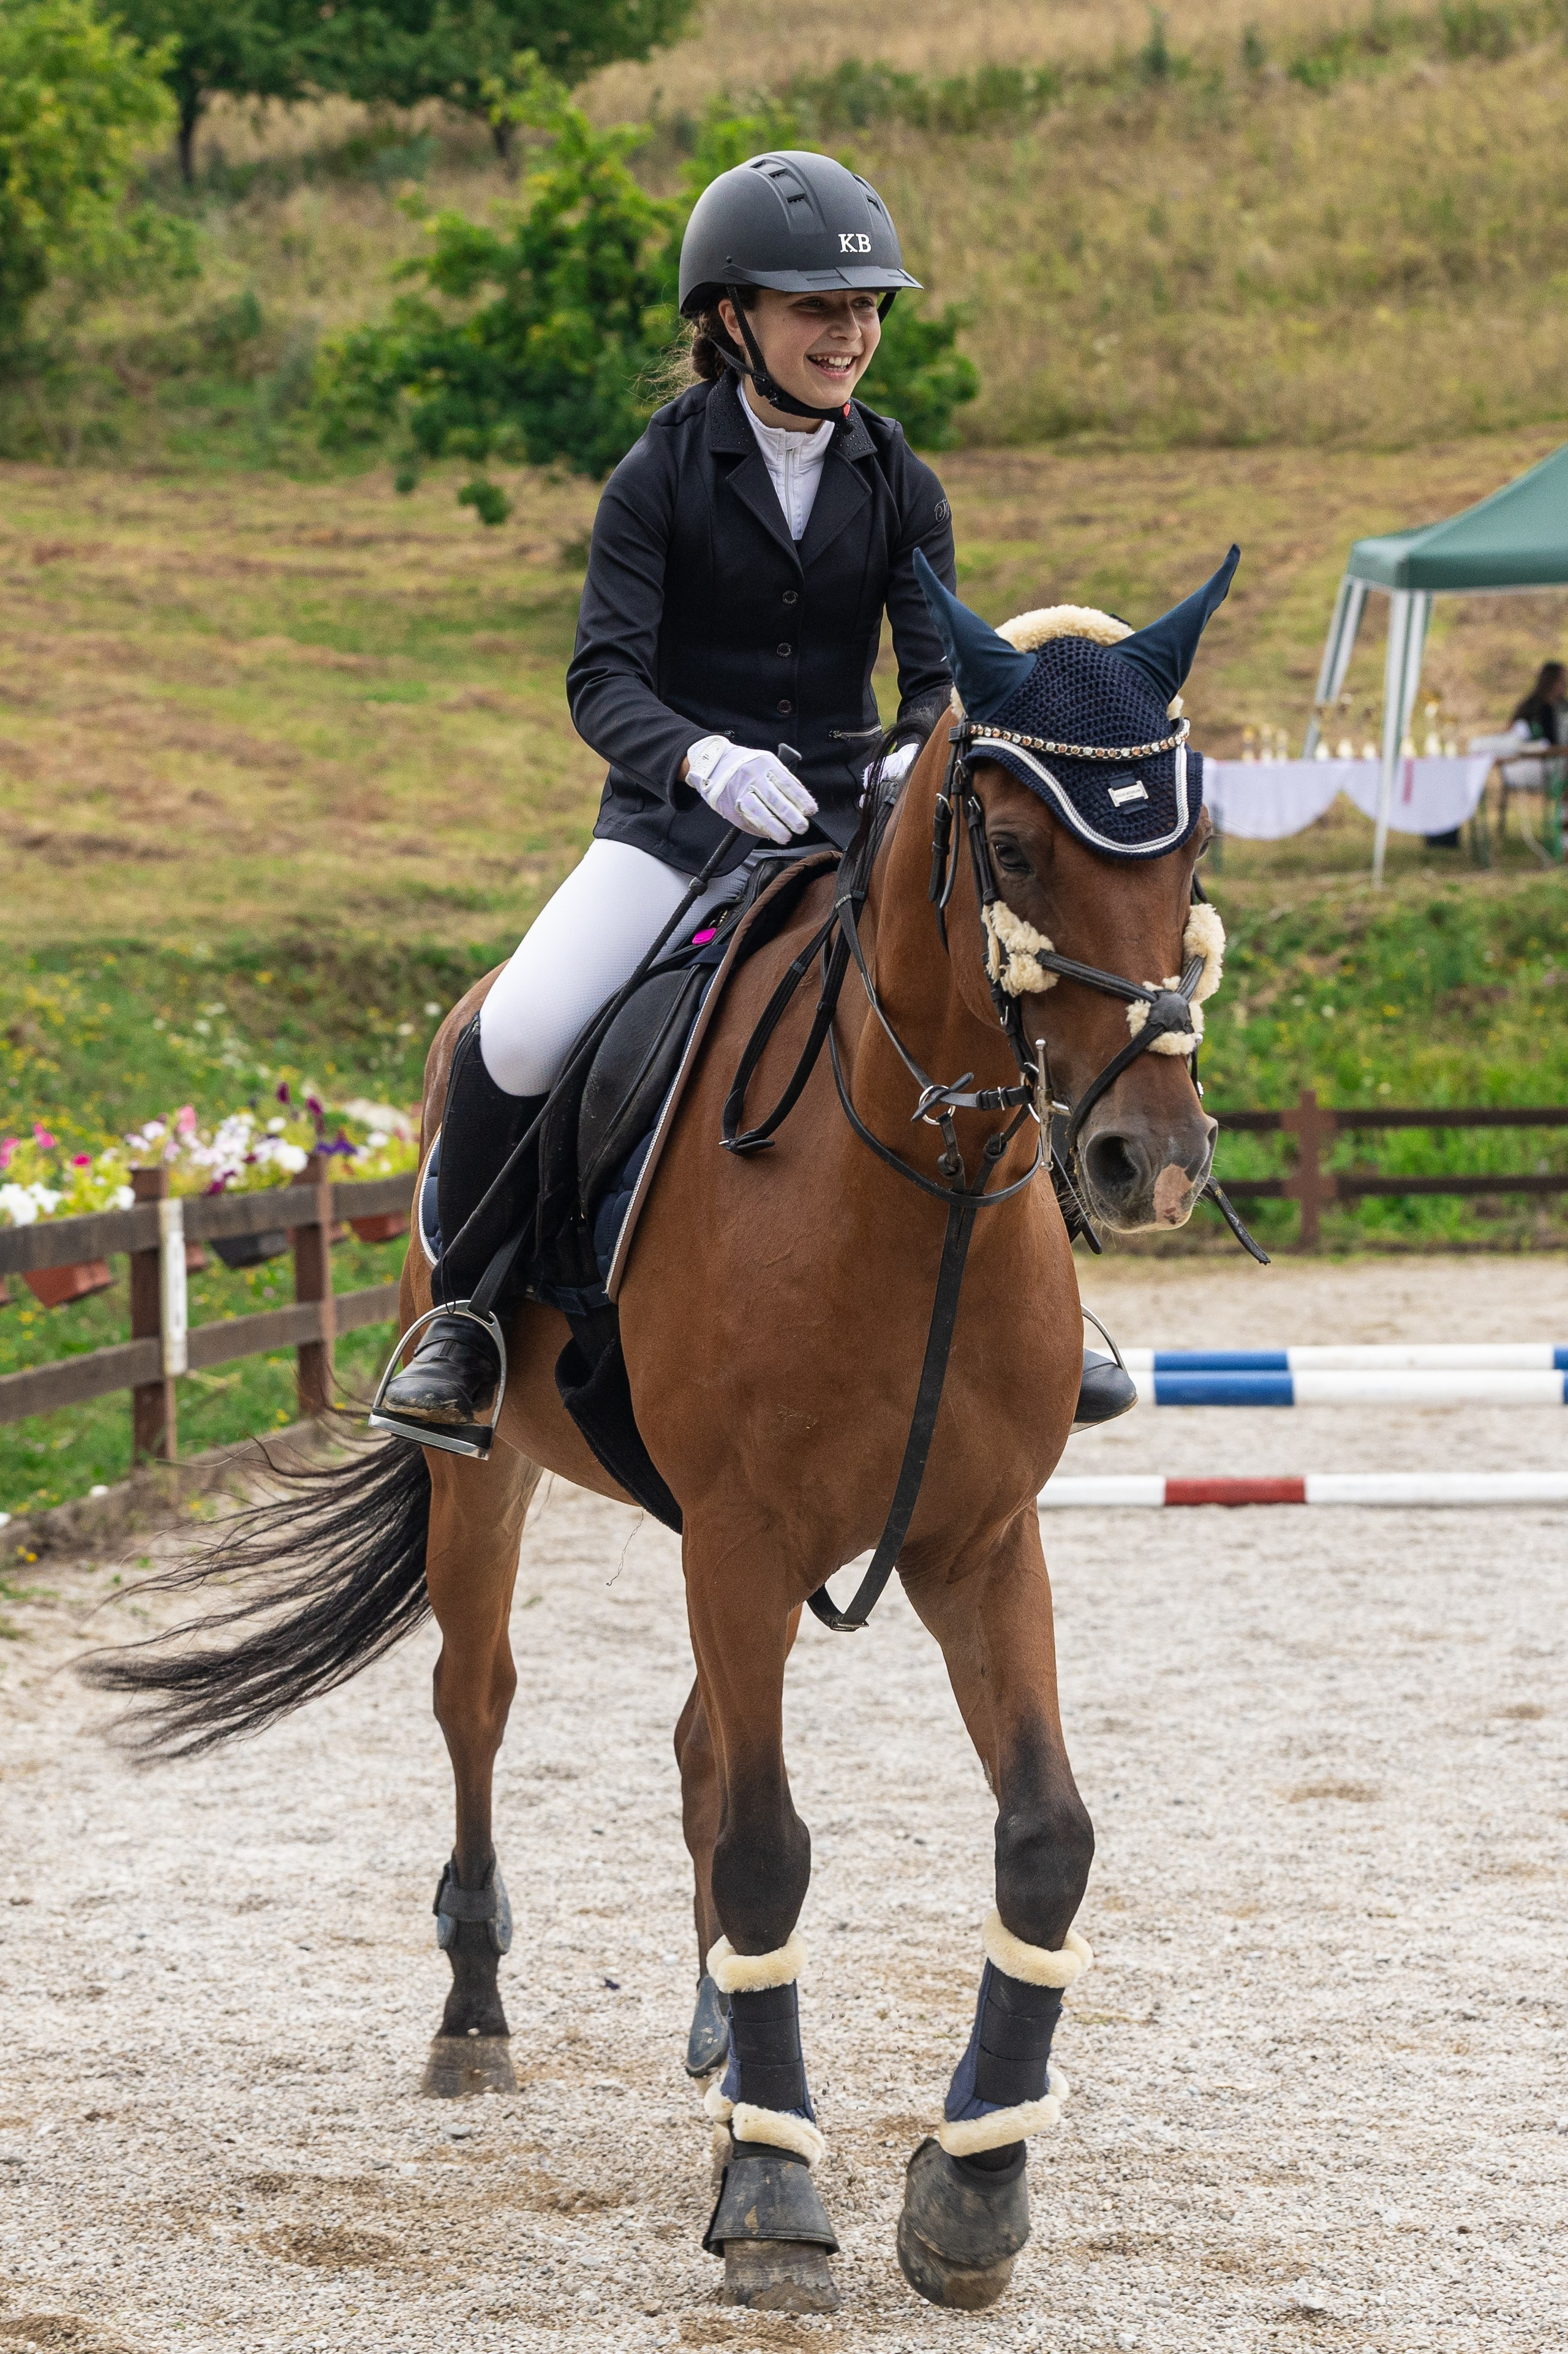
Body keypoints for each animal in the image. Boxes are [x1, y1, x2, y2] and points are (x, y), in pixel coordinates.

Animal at [86, 559, 1243, 2315]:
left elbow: (1043, 1834)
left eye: (1190, 846)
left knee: (699, 1741)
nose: (1146, 1160)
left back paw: (717, 2021)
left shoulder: (972, 1540)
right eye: (1013, 848)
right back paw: (478, 2017)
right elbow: (767, 1843)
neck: (903, 1177)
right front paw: (772, 2189)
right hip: (497, 1485)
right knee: (478, 1704)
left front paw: (968, 2191)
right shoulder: (747, 1535)